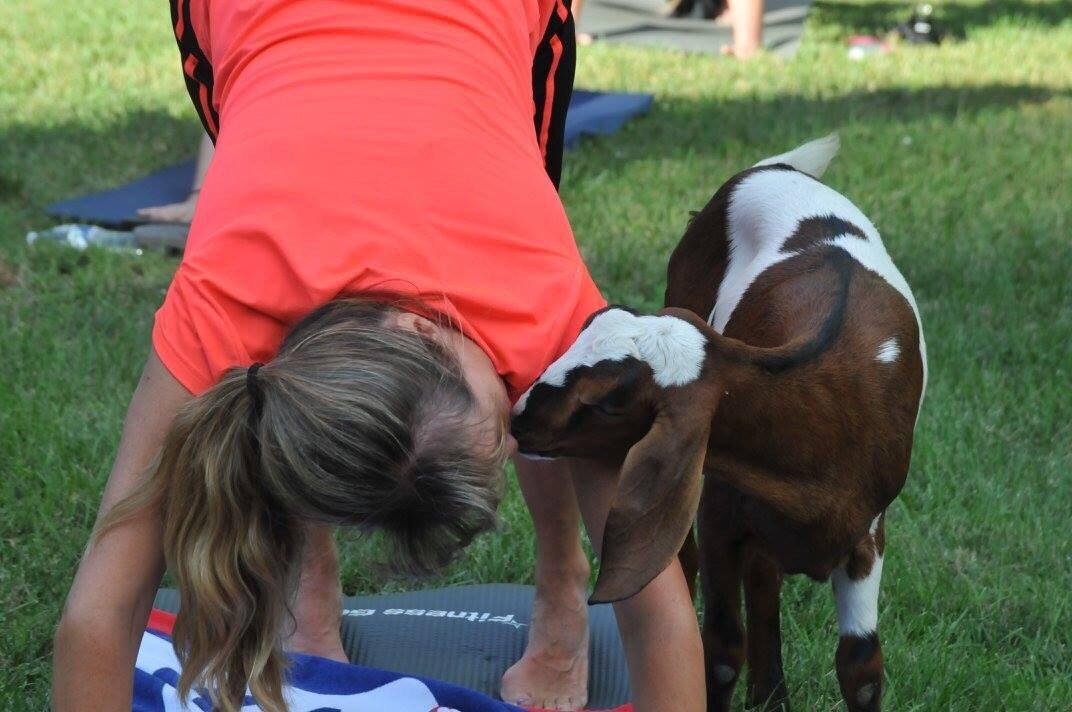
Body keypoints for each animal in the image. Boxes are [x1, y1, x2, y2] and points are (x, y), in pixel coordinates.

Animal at [510, 135, 921, 711]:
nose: (519, 416)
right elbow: (723, 648)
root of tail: (772, 168)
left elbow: (862, 667)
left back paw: (771, 698)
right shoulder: (721, 510)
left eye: (612, 400)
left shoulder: (867, 534)